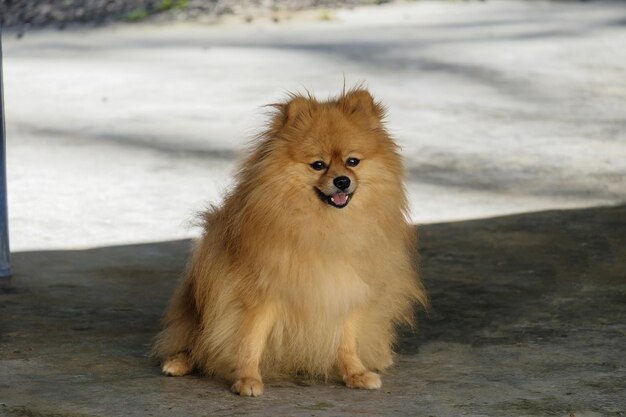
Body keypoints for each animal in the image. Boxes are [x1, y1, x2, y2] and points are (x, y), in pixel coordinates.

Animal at [151, 88, 424, 396]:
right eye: (318, 165)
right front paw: (247, 379)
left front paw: (355, 373)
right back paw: (179, 362)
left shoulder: (345, 290)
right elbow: (250, 339)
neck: (326, 227)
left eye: (353, 161)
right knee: (192, 340)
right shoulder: (259, 294)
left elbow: (347, 340)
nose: (342, 181)